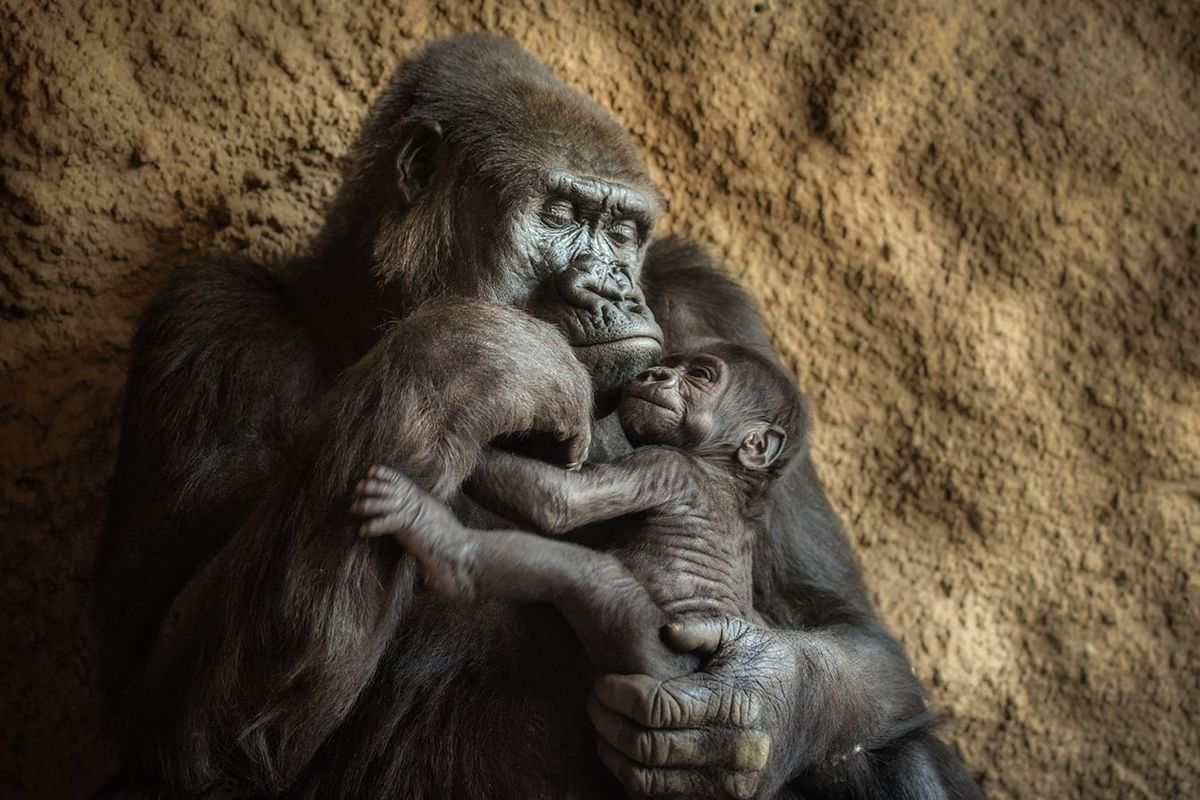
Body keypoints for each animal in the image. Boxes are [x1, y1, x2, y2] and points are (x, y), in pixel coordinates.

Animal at [350, 340, 811, 690]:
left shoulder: (665, 465)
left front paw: (470, 413)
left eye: (700, 375)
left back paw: (443, 547)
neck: (727, 468)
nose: (656, 375)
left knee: (586, 576)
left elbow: (560, 502)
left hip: (661, 663)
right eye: (669, 365)